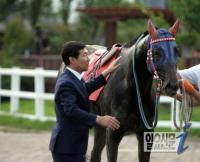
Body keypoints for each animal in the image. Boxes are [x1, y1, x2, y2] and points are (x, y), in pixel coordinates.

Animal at [89, 19, 181, 162]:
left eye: (176, 51)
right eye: (156, 52)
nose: (172, 85)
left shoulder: (145, 134)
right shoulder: (112, 134)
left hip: (99, 127)